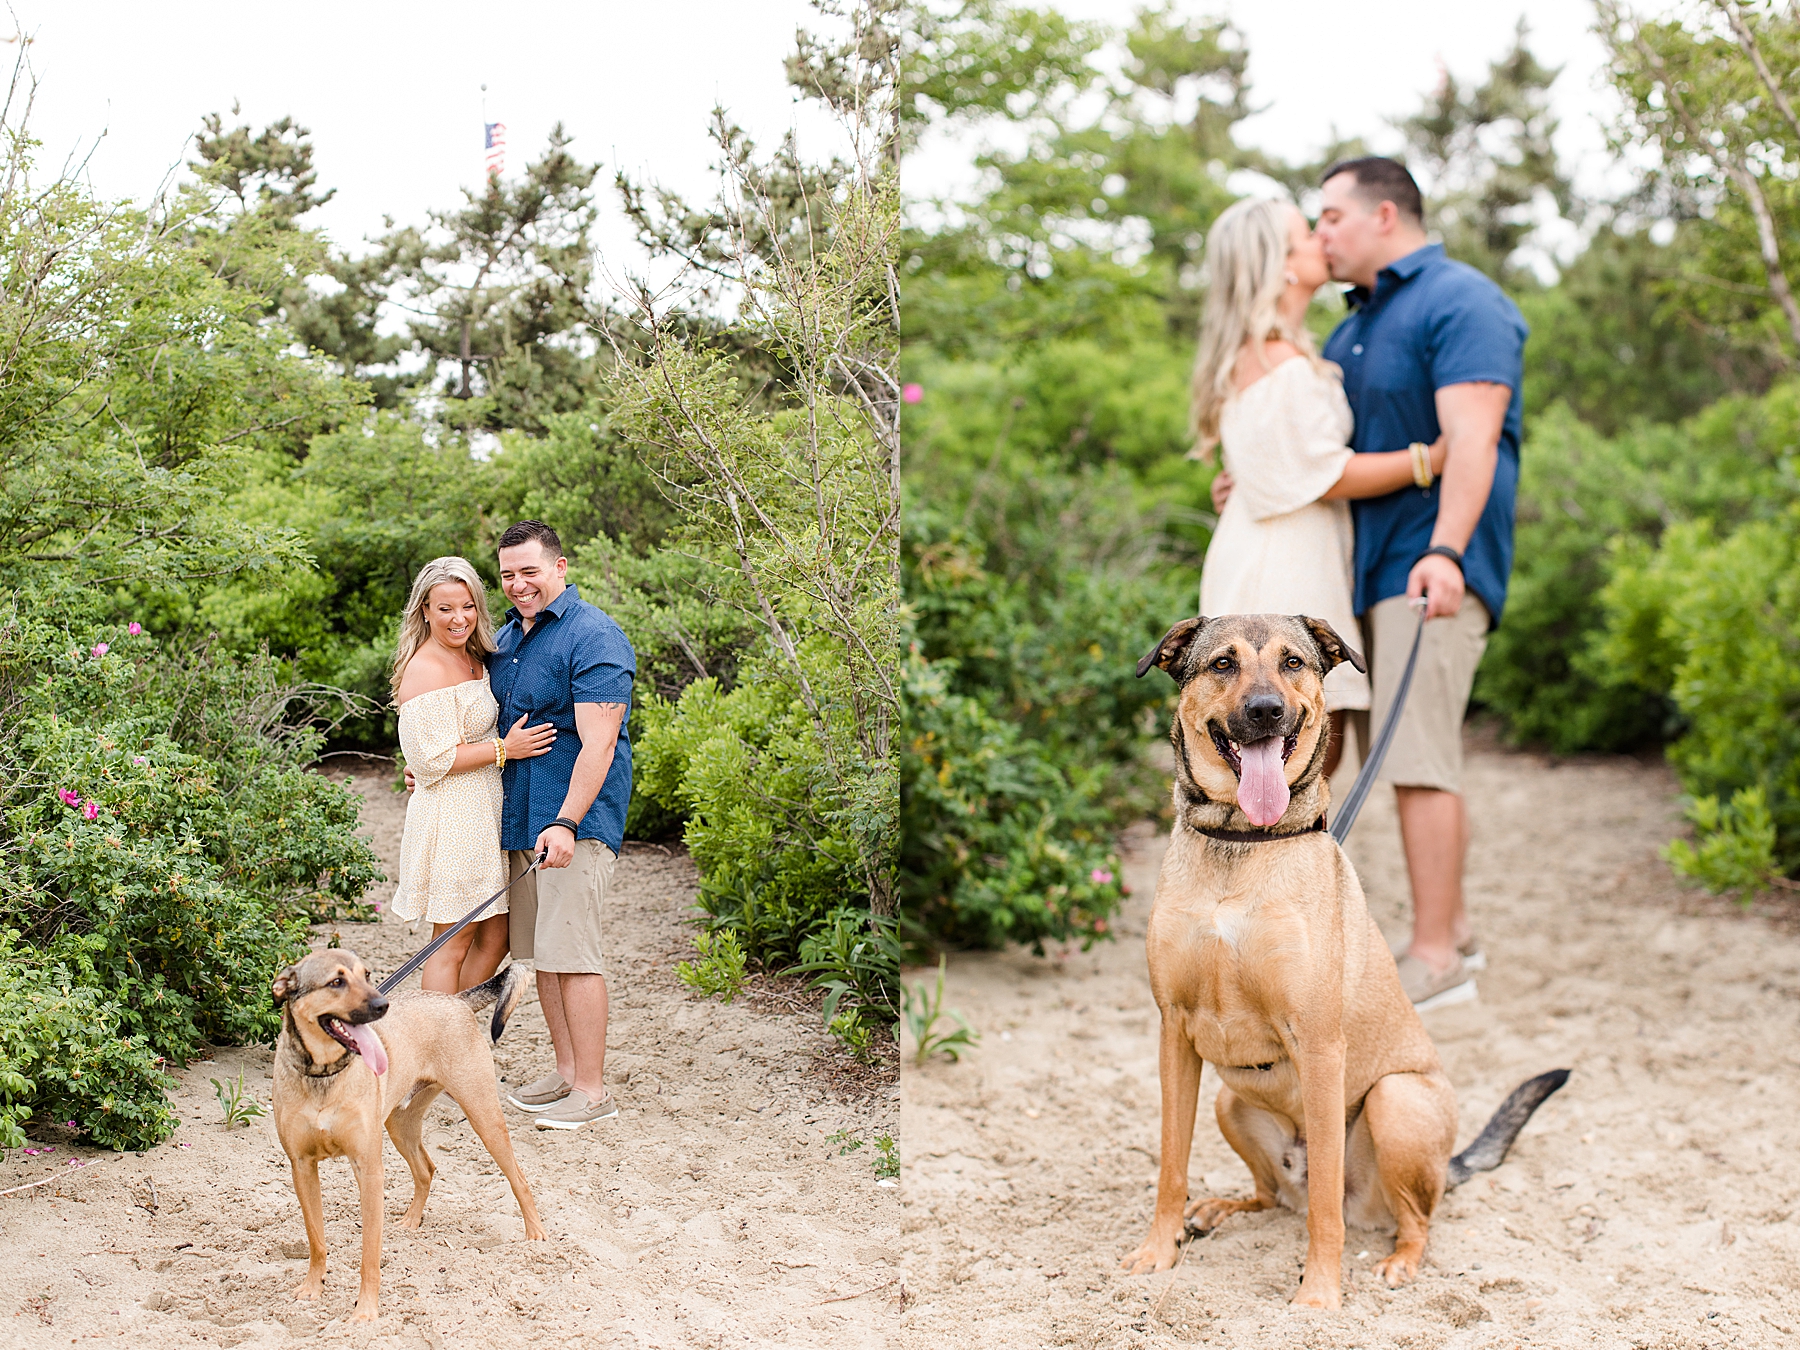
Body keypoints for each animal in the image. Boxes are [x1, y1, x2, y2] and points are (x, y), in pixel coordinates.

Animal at [266, 950, 543, 1324]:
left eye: (367, 975)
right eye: (336, 982)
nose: (382, 1004)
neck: (323, 1074)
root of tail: (456, 1000)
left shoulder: (368, 1169)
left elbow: (369, 1253)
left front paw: (366, 1311)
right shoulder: (302, 1167)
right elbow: (316, 1239)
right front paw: (313, 1288)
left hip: (484, 1117)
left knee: (519, 1179)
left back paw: (536, 1237)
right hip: (400, 1125)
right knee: (426, 1169)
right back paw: (412, 1221)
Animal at [1116, 615, 1569, 1310]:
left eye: (1293, 662)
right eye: (1222, 664)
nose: (1266, 710)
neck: (1239, 842)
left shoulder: (1320, 1045)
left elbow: (1325, 1203)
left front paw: (1319, 1295)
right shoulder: (1174, 1031)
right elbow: (1171, 1164)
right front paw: (1157, 1252)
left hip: (1394, 1101)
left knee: (1408, 1217)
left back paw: (1399, 1262)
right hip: (1228, 1101)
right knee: (1275, 1197)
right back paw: (1221, 1209)